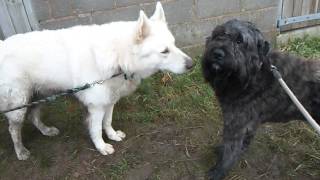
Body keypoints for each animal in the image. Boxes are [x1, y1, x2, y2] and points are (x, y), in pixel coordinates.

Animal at [0, 2, 192, 160]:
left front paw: (112, 135)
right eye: (164, 51)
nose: (192, 64)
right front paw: (101, 147)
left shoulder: (109, 100)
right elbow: (97, 129)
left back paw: (46, 131)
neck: (119, 56)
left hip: (38, 96)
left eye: (174, 44)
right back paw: (20, 151)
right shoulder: (96, 106)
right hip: (19, 106)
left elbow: (107, 122)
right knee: (13, 130)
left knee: (33, 117)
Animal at [201, 19, 320, 179]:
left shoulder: (235, 124)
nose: (217, 53)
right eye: (218, 35)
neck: (253, 74)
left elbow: (230, 152)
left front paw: (218, 171)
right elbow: (242, 143)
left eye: (239, 41)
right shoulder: (249, 122)